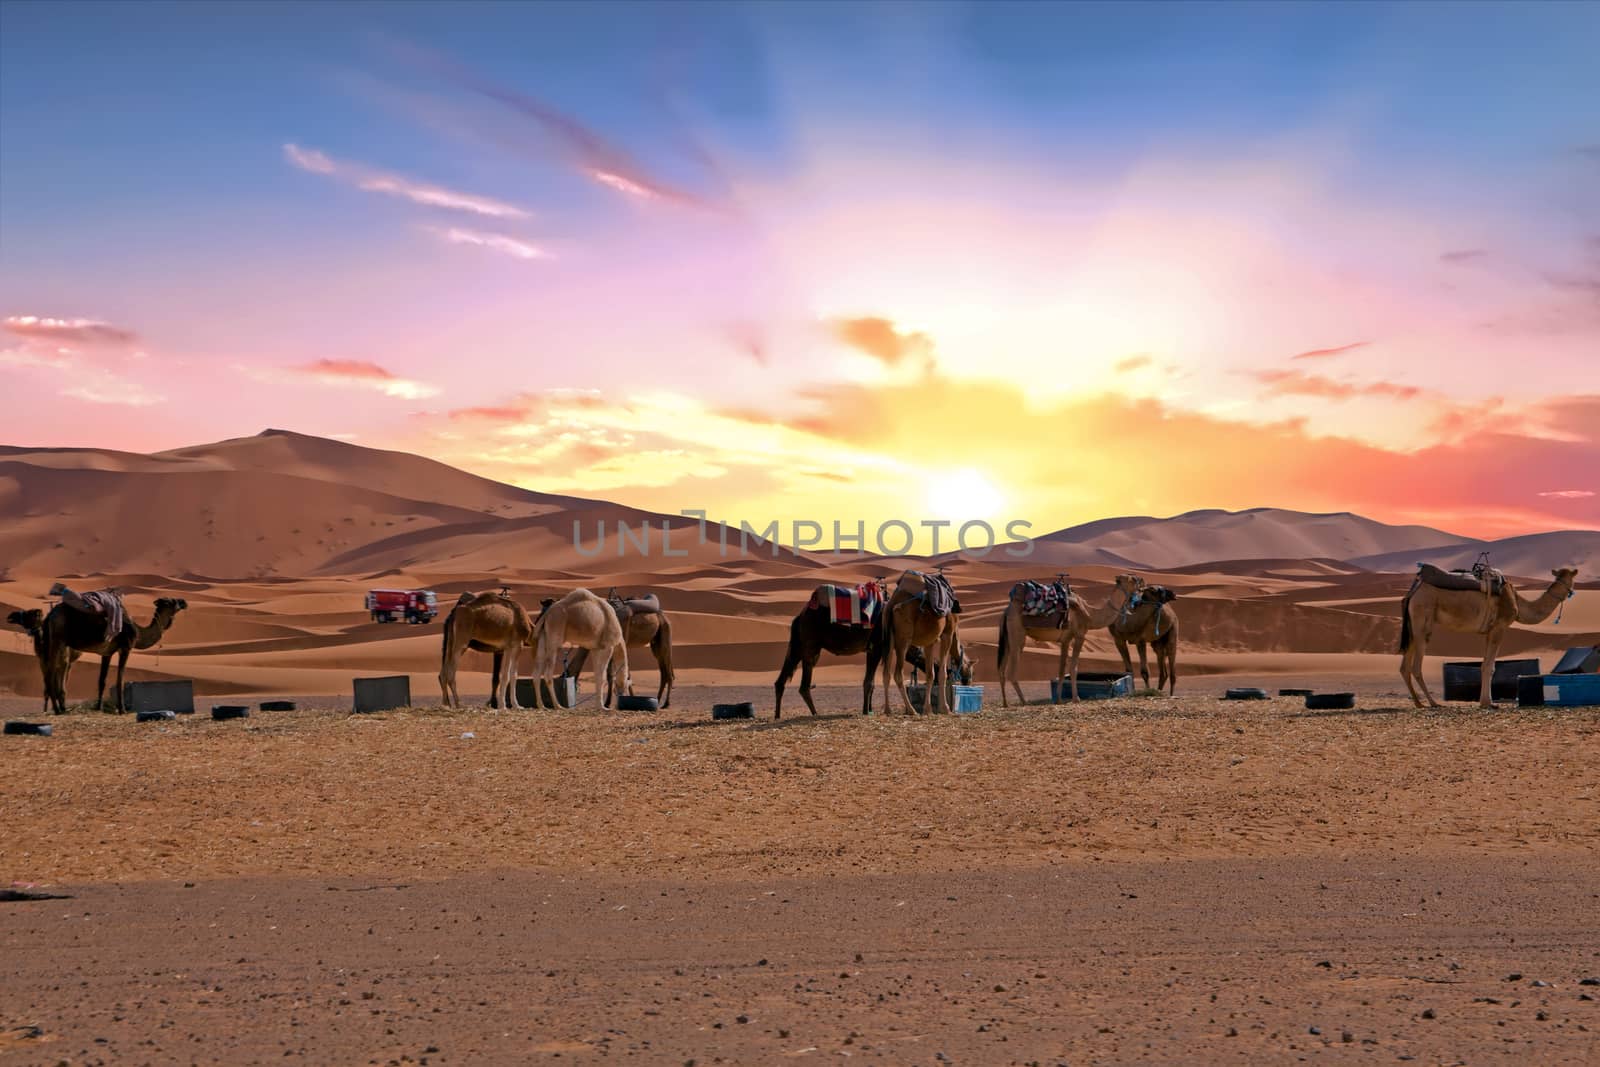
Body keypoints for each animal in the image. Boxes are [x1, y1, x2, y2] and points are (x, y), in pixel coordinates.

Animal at [39, 598, 187, 713]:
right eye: (172, 601)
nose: (184, 602)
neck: (138, 632)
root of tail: (50, 615)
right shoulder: (125, 648)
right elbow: (120, 679)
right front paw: (122, 709)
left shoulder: (107, 653)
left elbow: (102, 680)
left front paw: (99, 708)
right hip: (58, 639)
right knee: (51, 670)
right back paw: (58, 709)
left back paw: (60, 708)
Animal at [771, 579, 896, 723]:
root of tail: (800, 616)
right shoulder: (876, 646)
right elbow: (869, 682)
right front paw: (866, 711)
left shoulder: (873, 649)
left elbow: (872, 683)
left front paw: (869, 710)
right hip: (810, 644)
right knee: (804, 685)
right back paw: (815, 714)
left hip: (799, 645)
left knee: (782, 680)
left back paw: (778, 716)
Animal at [876, 566, 960, 716]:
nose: (968, 681)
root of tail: (892, 603)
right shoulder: (948, 633)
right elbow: (942, 673)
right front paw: (945, 708)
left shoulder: (930, 641)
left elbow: (930, 674)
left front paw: (928, 709)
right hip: (903, 639)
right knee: (898, 674)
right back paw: (911, 710)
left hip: (889, 640)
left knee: (886, 673)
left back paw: (888, 709)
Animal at [998, 579, 1139, 703]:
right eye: (1132, 580)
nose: (1141, 582)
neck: (1090, 614)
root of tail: (1007, 610)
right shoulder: (1080, 635)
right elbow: (1073, 668)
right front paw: (1076, 698)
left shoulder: (1066, 640)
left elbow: (1061, 670)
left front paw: (1059, 699)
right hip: (1017, 634)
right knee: (1011, 672)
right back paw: (1023, 701)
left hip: (1007, 637)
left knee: (1001, 669)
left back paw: (1005, 703)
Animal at [1401, 566, 1574, 710]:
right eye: (1572, 577)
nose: (1571, 591)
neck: (1517, 601)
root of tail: (1413, 592)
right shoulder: (1499, 627)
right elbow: (1490, 667)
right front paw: (1488, 703)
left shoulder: (1489, 631)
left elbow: (1485, 664)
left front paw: (1486, 702)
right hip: (1422, 619)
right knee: (1416, 666)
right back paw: (1433, 703)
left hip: (1412, 627)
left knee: (1404, 666)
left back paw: (1418, 703)